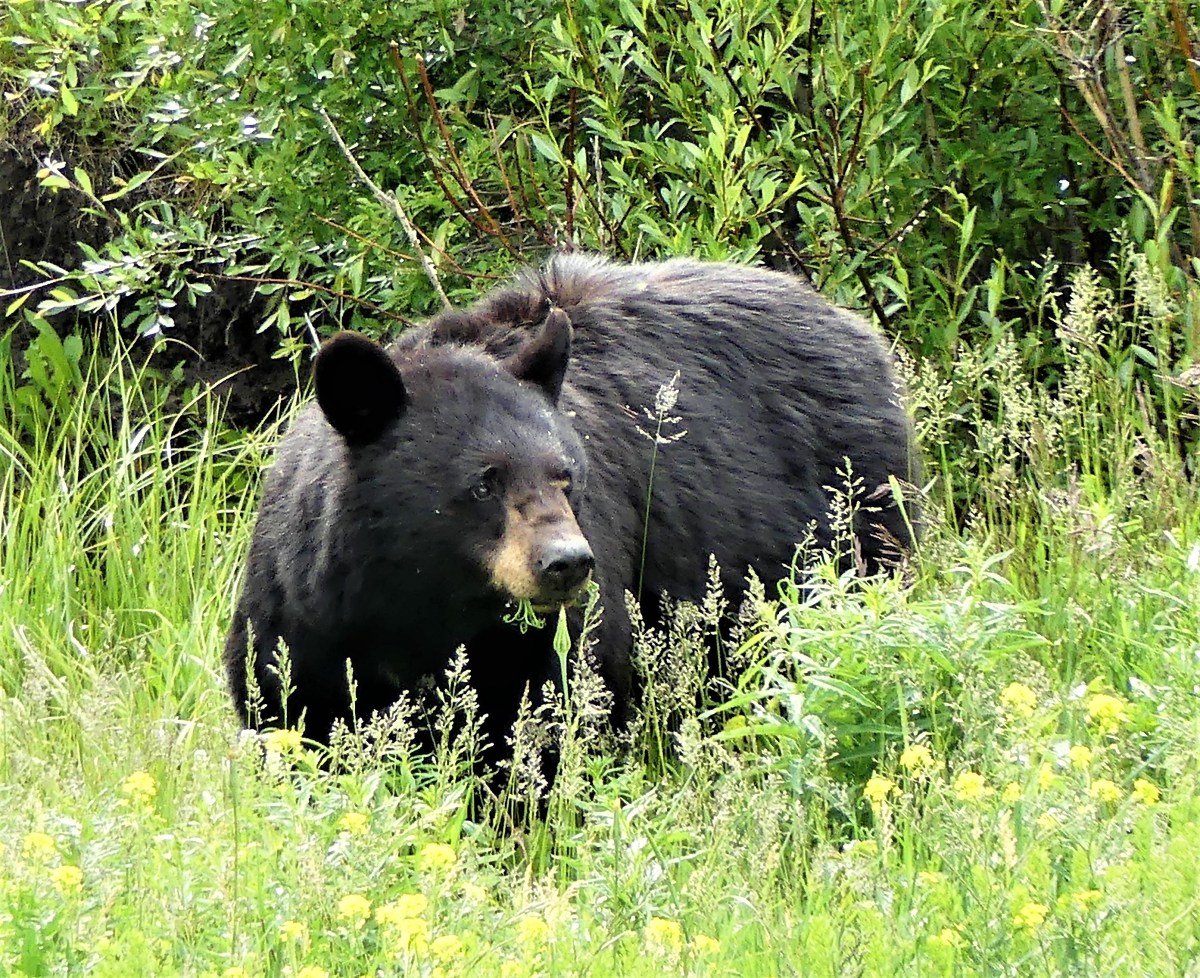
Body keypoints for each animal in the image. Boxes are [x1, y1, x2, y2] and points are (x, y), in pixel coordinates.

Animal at [224, 254, 918, 767]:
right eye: (483, 483)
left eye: (567, 477)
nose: (567, 563)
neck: (421, 604)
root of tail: (851, 324)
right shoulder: (304, 614)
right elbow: (293, 714)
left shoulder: (547, 639)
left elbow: (554, 718)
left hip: (850, 523)